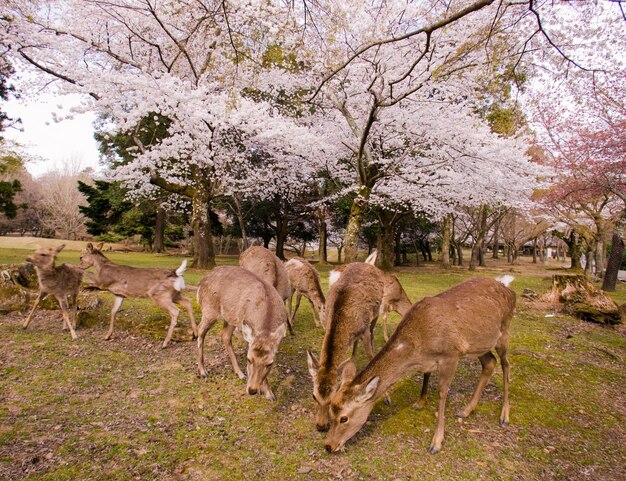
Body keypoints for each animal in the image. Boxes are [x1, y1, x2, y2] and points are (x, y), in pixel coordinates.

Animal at [195, 266, 288, 402]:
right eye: (248, 359)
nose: (252, 390)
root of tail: (201, 283)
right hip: (209, 309)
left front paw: (268, 393)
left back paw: (240, 374)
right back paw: (203, 371)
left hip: (231, 317)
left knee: (225, 335)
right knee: (200, 330)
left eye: (270, 363)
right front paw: (268, 394)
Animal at [322, 274, 512, 454]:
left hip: (504, 331)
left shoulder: (451, 354)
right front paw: (420, 403)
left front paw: (436, 442)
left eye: (344, 418)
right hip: (479, 344)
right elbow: (426, 374)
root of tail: (510, 291)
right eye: (330, 410)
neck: (418, 347)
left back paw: (504, 415)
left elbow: (442, 393)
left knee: (505, 364)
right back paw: (466, 410)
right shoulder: (430, 360)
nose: (329, 445)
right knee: (490, 362)